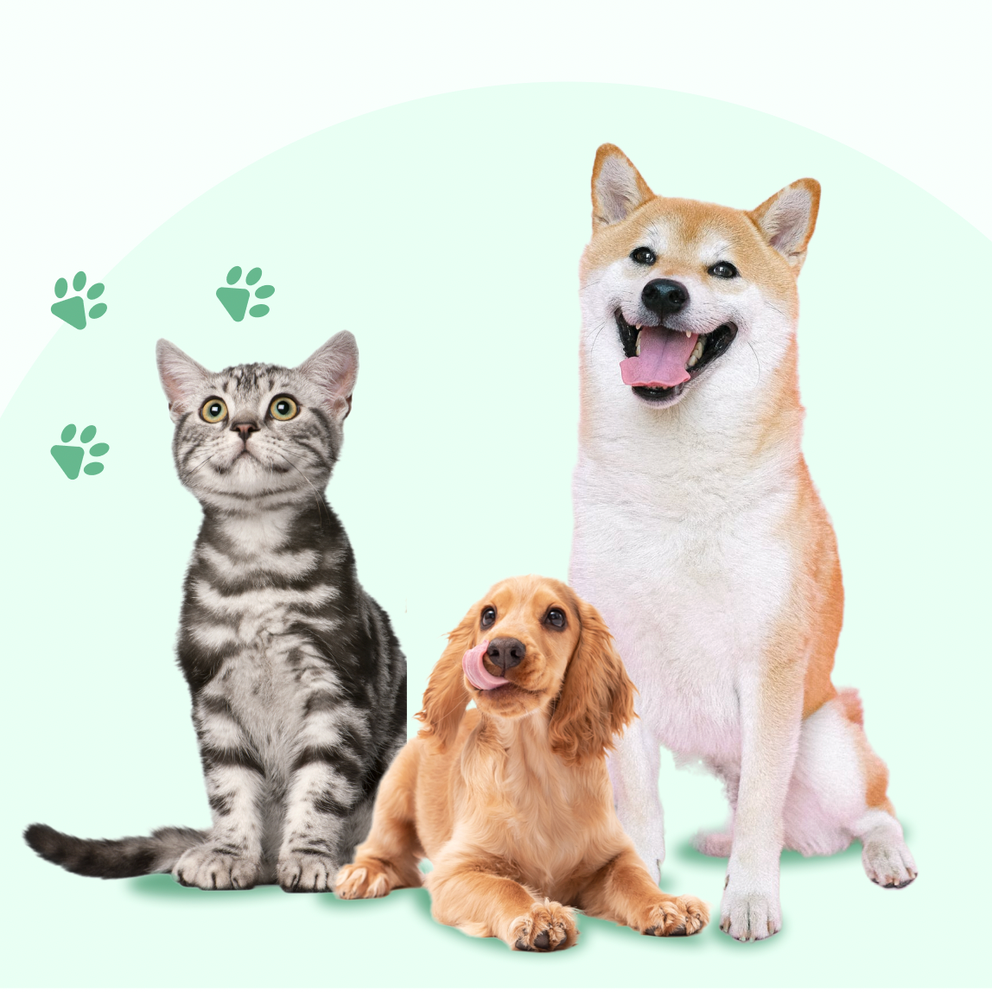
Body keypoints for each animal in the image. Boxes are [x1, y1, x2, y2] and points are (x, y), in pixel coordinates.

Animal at [26, 332, 406, 892]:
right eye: (213, 409)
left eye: (283, 407)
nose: (243, 425)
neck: (257, 559)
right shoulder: (213, 690)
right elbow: (230, 786)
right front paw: (227, 852)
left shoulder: (338, 686)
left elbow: (321, 785)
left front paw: (311, 853)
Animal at [338, 576, 708, 948]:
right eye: (488, 615)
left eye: (556, 617)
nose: (502, 649)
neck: (534, 765)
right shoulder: (454, 870)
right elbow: (503, 886)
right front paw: (537, 916)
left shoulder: (612, 854)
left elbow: (633, 877)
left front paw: (666, 905)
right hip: (395, 794)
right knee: (384, 850)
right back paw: (363, 874)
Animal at [568, 143, 920, 940]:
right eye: (643, 256)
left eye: (723, 269)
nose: (665, 292)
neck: (677, 483)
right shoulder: (622, 671)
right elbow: (640, 804)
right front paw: (641, 884)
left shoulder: (770, 669)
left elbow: (764, 805)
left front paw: (752, 899)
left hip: (825, 748)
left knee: (872, 811)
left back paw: (886, 857)